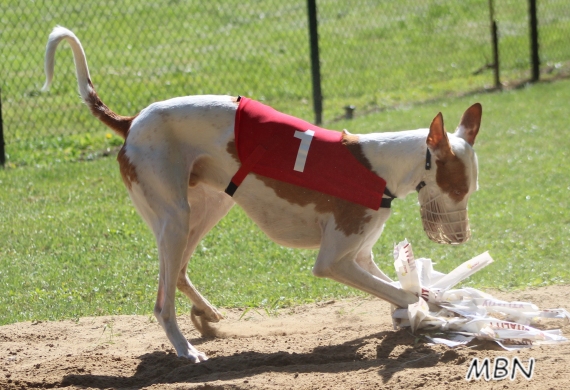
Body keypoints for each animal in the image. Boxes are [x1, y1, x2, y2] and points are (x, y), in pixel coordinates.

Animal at [43, 27, 480, 362]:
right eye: (458, 188)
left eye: (472, 190)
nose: (461, 238)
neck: (380, 165)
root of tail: (131, 121)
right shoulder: (332, 262)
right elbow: (405, 294)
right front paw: (429, 315)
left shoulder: (359, 256)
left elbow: (404, 291)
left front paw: (435, 310)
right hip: (174, 218)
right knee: (161, 301)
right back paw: (185, 349)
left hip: (207, 207)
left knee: (179, 274)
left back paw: (204, 314)